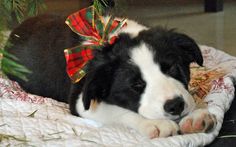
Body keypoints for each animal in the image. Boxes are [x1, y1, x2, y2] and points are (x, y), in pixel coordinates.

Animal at [3, 14, 217, 138]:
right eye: (136, 85)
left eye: (172, 68)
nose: (175, 106)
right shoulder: (81, 100)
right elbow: (119, 111)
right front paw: (154, 123)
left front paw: (196, 115)